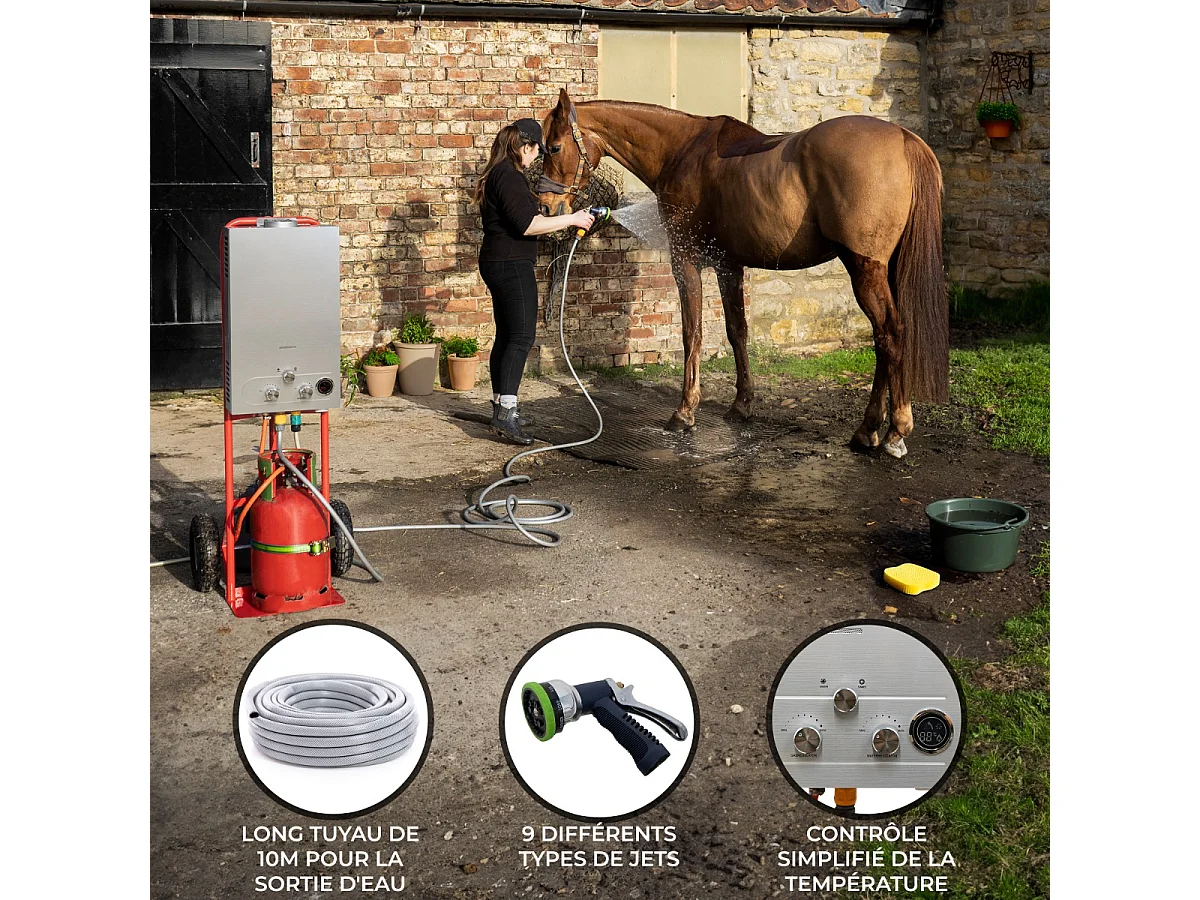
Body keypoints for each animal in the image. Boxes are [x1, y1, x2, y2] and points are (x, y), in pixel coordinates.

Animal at [536, 89, 947, 459]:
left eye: (553, 148)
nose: (546, 206)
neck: (680, 150)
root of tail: (904, 139)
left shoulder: (686, 262)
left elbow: (693, 333)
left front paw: (685, 412)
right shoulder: (728, 266)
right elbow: (737, 332)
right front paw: (742, 405)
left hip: (864, 270)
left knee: (890, 335)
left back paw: (889, 429)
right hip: (885, 270)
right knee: (886, 337)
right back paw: (873, 428)